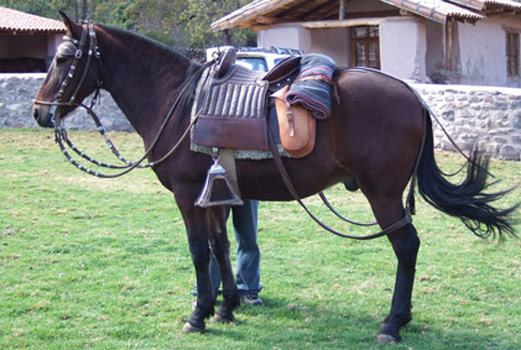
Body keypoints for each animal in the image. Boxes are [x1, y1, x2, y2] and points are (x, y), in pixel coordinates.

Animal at [32, 13, 516, 344]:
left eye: (64, 58)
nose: (39, 112)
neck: (177, 101)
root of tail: (412, 95)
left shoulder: (188, 195)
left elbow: (198, 251)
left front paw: (199, 314)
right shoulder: (217, 194)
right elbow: (220, 247)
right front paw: (226, 308)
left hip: (383, 194)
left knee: (407, 247)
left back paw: (393, 323)